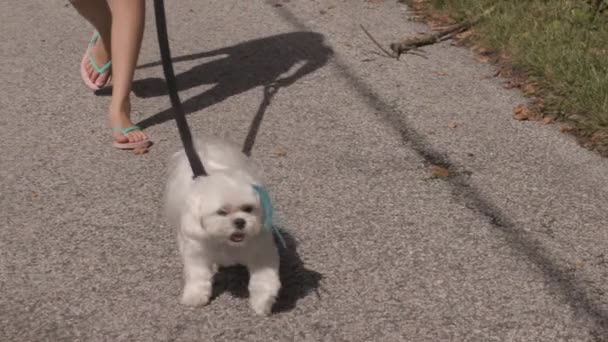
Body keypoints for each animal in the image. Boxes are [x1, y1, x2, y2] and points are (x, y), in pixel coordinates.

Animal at [165, 136, 282, 316]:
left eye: (248, 208)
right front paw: (195, 297)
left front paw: (262, 303)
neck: (227, 243)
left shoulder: (261, 251)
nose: (240, 221)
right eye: (222, 212)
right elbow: (198, 275)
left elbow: (264, 278)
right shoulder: (198, 252)